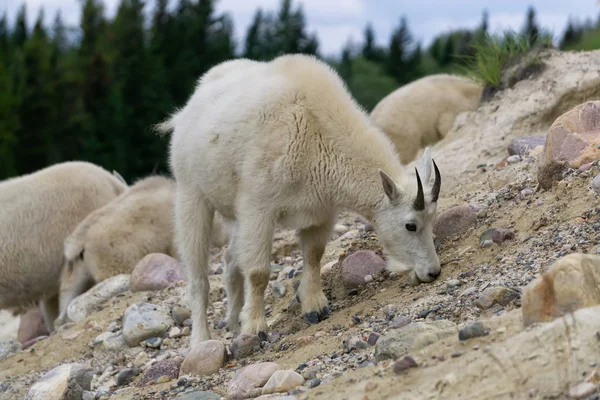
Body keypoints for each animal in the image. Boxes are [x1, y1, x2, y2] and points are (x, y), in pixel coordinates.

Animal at [157, 53, 442, 346]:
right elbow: (258, 272)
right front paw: (256, 328)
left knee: (230, 260)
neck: (317, 133)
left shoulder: (322, 211)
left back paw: (235, 325)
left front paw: (315, 307)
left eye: (432, 219)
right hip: (191, 192)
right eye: (410, 225)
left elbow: (314, 256)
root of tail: (186, 110)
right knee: (198, 276)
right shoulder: (259, 207)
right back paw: (202, 339)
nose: (433, 272)